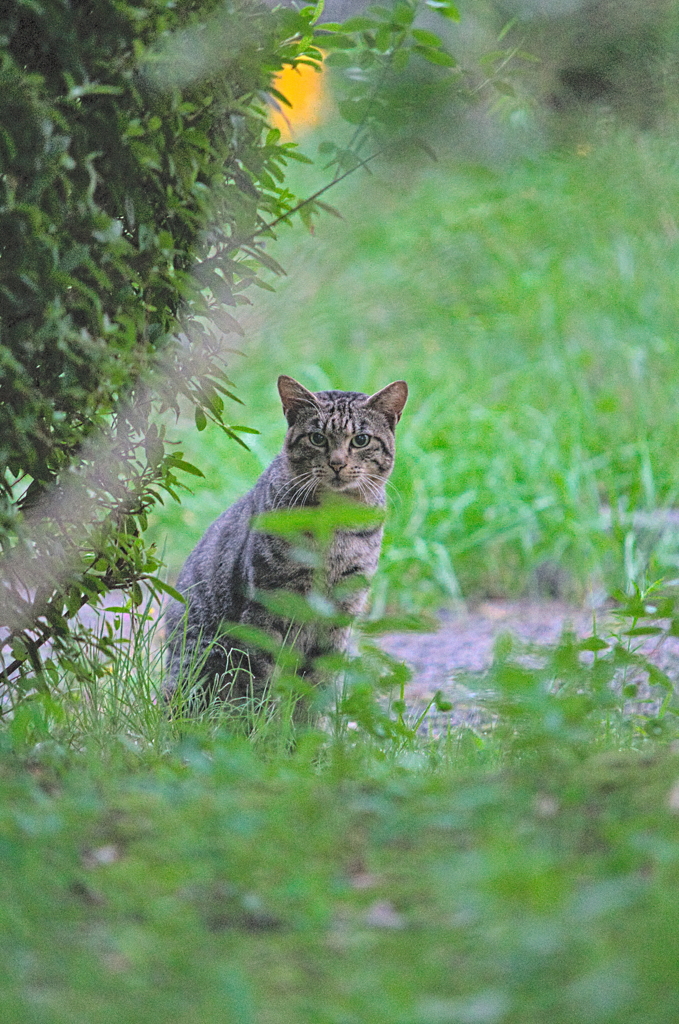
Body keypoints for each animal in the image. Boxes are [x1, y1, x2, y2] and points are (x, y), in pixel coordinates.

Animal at [163, 374, 409, 712]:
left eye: (361, 440)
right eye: (317, 438)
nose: (337, 463)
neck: (334, 524)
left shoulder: (340, 611)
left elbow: (315, 689)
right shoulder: (268, 608)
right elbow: (260, 682)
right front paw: (261, 725)